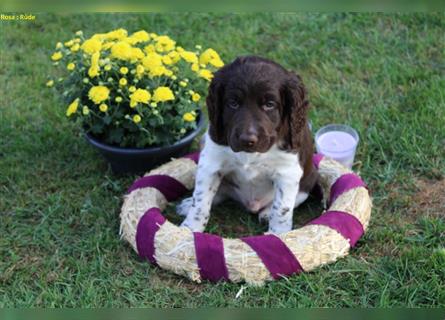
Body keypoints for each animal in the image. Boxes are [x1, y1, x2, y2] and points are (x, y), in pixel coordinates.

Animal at [175, 56, 318, 234]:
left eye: (269, 104)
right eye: (233, 103)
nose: (247, 140)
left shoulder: (288, 172)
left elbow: (282, 209)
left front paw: (277, 235)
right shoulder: (211, 162)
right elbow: (200, 202)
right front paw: (188, 230)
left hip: (309, 180)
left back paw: (266, 213)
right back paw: (187, 204)